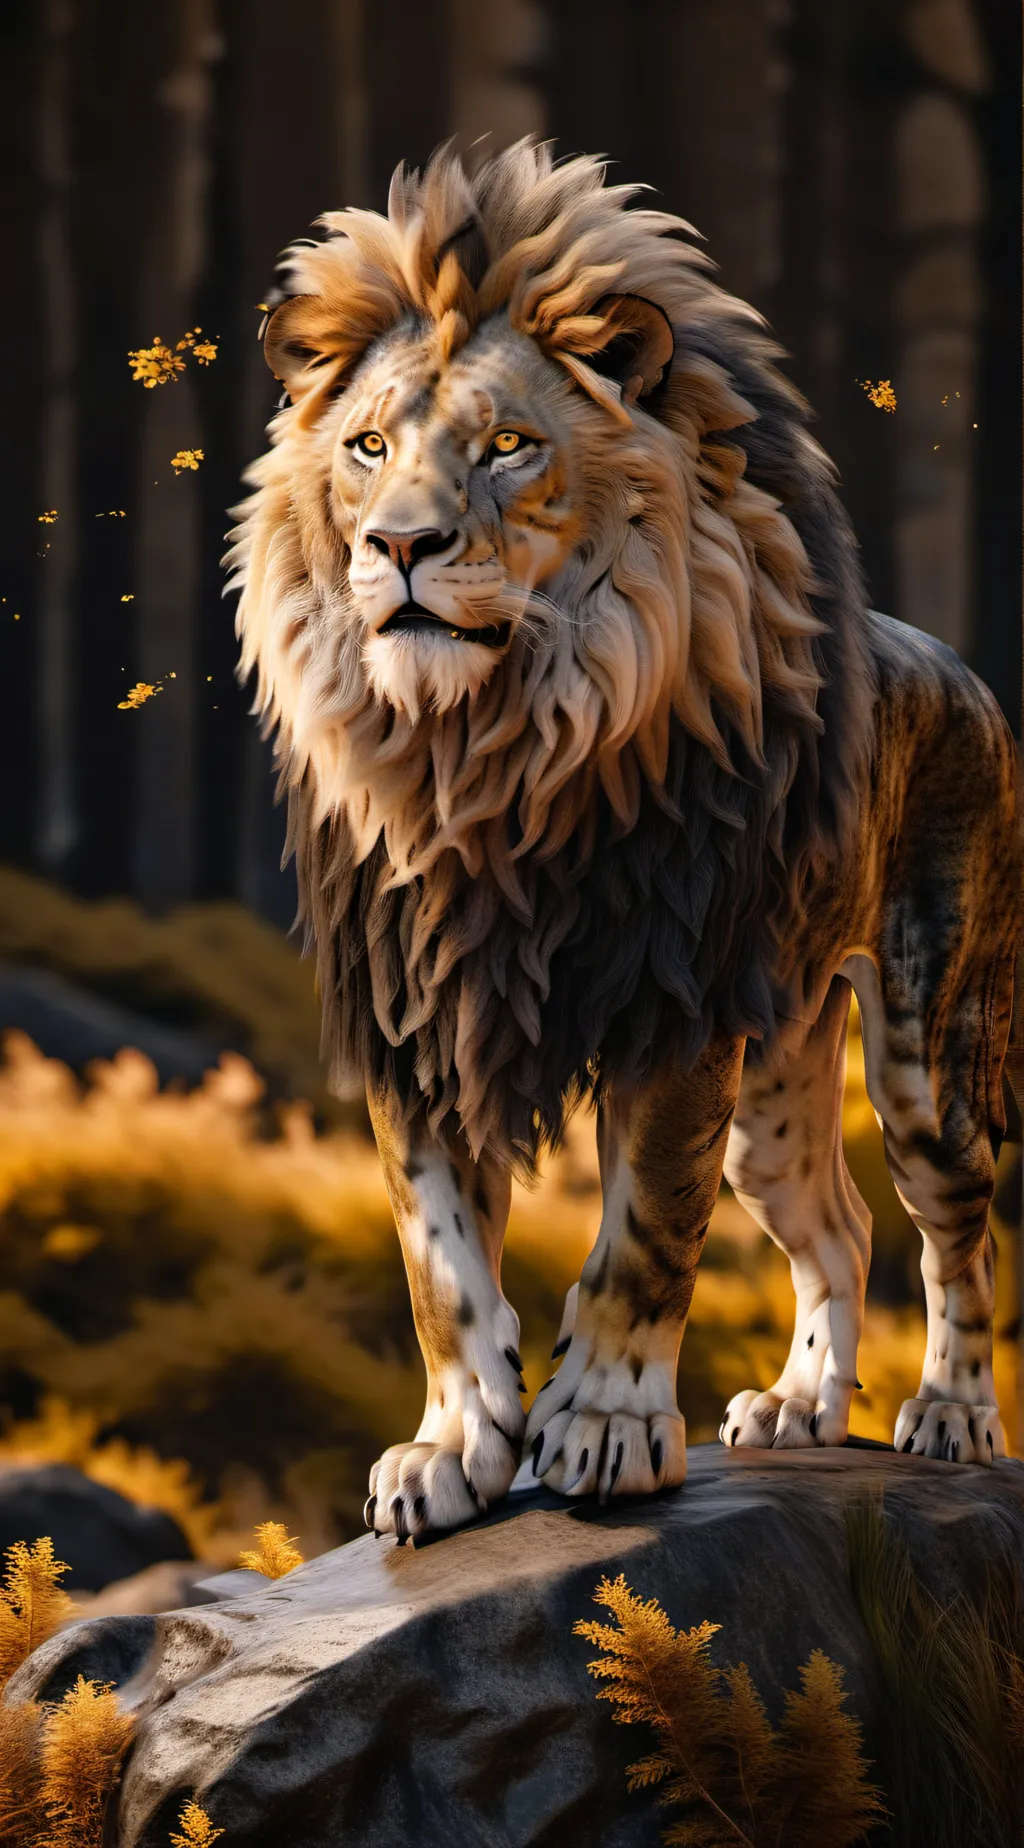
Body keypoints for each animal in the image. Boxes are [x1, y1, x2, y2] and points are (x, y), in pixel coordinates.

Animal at [228, 142, 1020, 1539]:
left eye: (506, 446)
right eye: (368, 447)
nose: (398, 545)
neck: (483, 757)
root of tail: (959, 666)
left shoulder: (676, 1005)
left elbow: (643, 1231)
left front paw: (600, 1424)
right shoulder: (416, 1018)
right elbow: (439, 1265)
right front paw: (451, 1449)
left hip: (927, 1055)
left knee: (955, 1231)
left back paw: (951, 1413)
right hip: (775, 1091)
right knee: (839, 1229)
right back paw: (799, 1409)